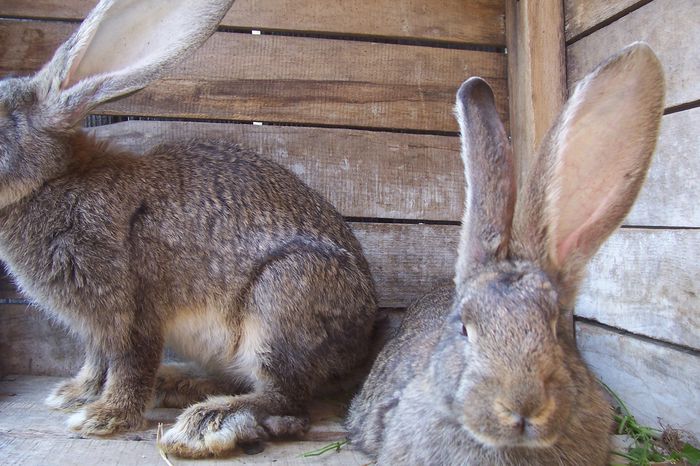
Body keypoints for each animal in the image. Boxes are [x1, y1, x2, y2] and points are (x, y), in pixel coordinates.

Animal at [0, 0, 378, 458]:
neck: (52, 180)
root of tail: (363, 343)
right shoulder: (95, 327)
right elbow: (96, 361)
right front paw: (75, 395)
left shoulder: (132, 311)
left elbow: (129, 364)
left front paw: (104, 418)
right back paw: (178, 385)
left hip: (283, 299)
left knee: (285, 399)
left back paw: (207, 422)